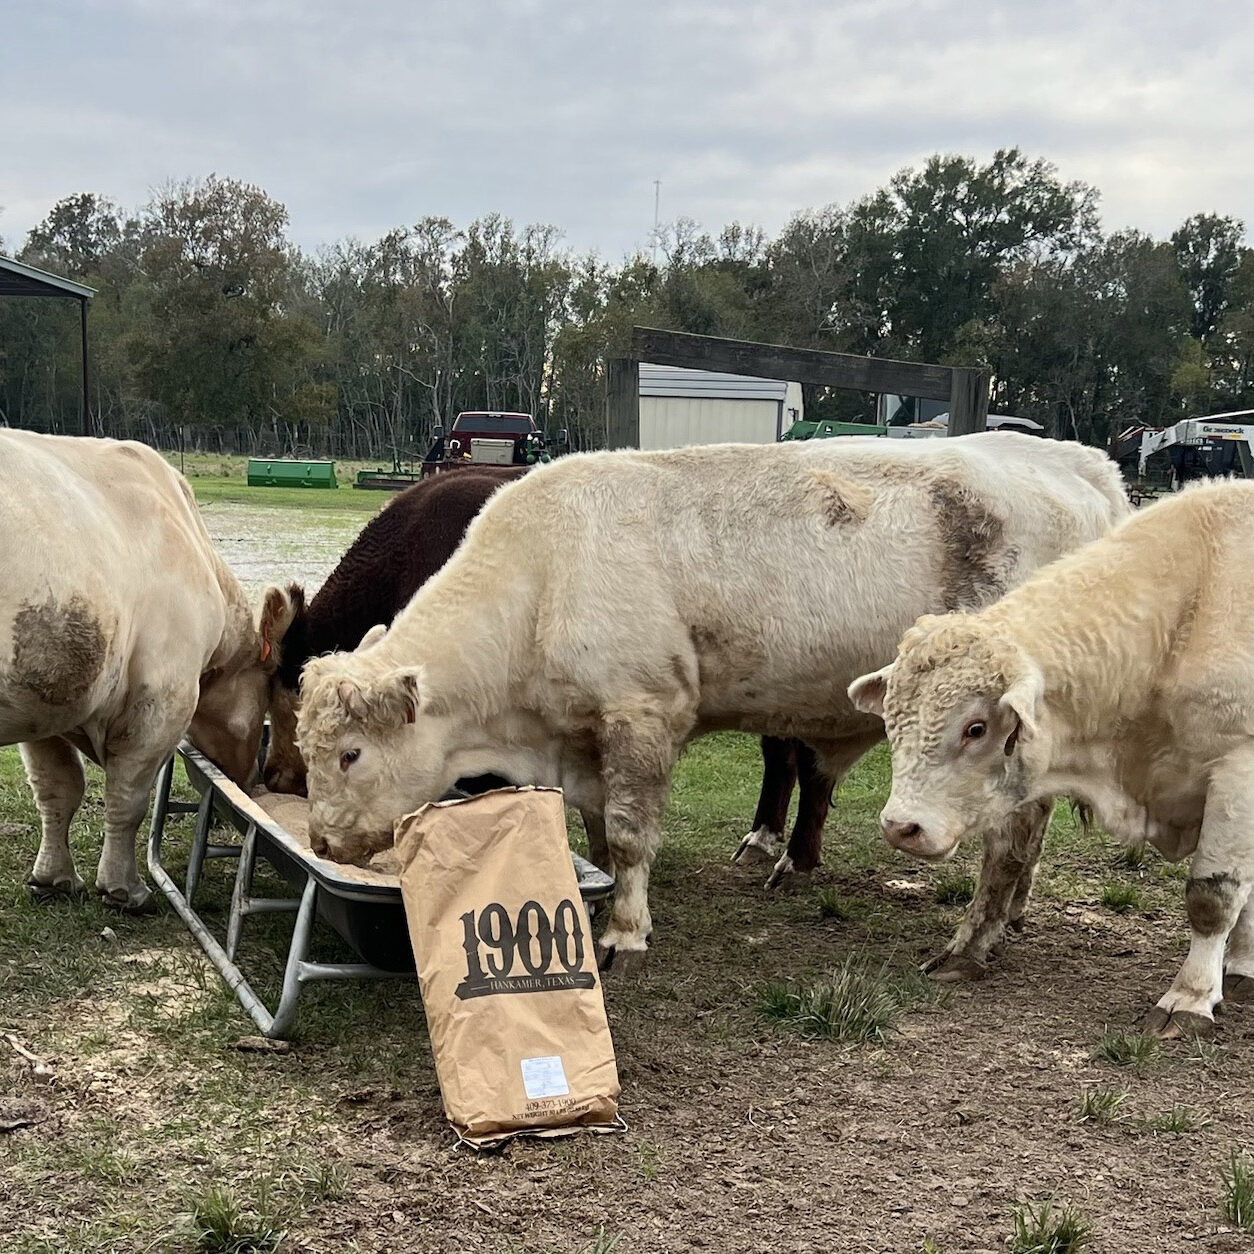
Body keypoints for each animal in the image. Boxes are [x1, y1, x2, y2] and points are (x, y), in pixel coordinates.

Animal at [0, 431, 274, 912]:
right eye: (264, 700)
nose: (253, 781)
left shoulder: (49, 696)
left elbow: (57, 789)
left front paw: (53, 878)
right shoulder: (162, 696)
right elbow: (127, 798)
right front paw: (124, 889)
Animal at [290, 431, 1128, 968]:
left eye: (351, 753)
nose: (321, 839)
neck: (540, 584)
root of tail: (1079, 464)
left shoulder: (642, 718)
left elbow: (630, 834)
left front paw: (625, 930)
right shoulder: (586, 741)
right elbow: (597, 832)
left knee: (1009, 836)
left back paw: (970, 944)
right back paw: (1010, 917)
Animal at [847, 479, 1254, 1038]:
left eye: (976, 728)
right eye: (892, 721)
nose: (900, 827)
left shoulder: (1238, 772)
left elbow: (1213, 898)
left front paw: (1191, 996)